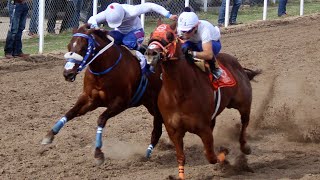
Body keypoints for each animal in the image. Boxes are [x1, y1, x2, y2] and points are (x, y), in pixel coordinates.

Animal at [41, 24, 164, 165]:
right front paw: (49, 135)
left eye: (83, 48)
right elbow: (70, 112)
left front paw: (98, 153)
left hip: (156, 105)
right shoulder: (90, 99)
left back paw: (149, 152)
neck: (103, 70)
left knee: (157, 129)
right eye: (69, 46)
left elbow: (101, 119)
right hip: (149, 104)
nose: (68, 73)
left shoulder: (120, 103)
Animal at [146, 21, 262, 179]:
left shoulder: (203, 128)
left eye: (169, 36)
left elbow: (210, 155)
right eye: (152, 34)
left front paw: (224, 154)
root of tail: (237, 64)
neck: (178, 93)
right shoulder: (174, 131)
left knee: (244, 122)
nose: (150, 53)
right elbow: (181, 157)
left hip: (243, 103)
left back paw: (245, 147)